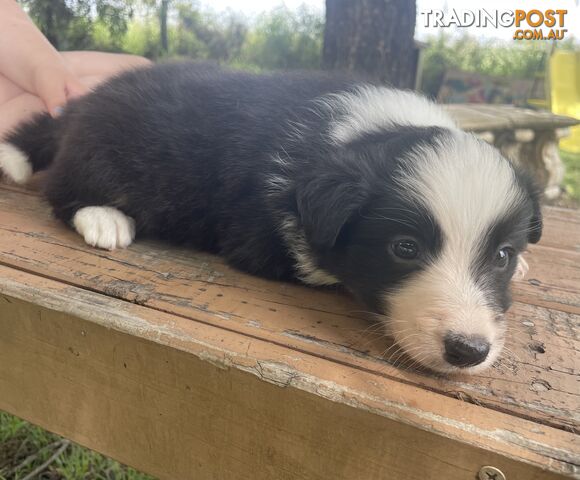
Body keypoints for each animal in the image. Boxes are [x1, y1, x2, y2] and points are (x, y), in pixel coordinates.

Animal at [1, 61, 544, 376]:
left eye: (499, 254)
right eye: (404, 248)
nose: (469, 351)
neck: (358, 134)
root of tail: (79, 108)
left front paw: (522, 266)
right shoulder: (258, 232)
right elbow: (319, 264)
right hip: (103, 152)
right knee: (65, 187)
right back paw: (103, 217)